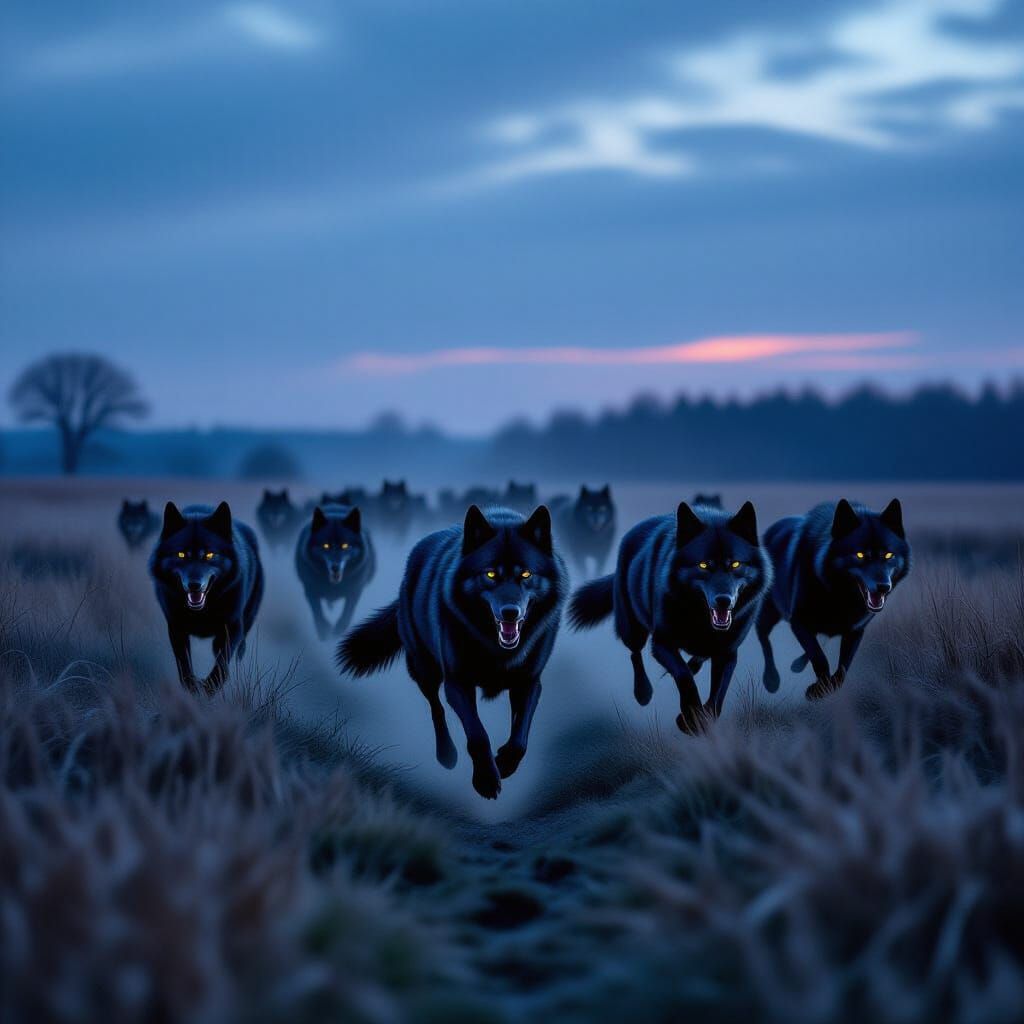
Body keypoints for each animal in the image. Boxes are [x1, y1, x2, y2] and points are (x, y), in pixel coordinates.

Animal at [149, 502, 264, 695]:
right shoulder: (176, 627)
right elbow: (183, 662)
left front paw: (209, 688)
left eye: (209, 555)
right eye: (181, 554)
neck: (203, 612)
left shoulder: (233, 626)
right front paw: (192, 688)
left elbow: (222, 664)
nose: (194, 585)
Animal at [295, 504, 376, 640]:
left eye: (345, 545)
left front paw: (338, 631)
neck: (333, 587)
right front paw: (323, 631)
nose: (335, 567)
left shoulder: (355, 591)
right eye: (326, 546)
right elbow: (317, 612)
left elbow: (347, 612)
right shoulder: (310, 590)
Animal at [337, 505, 567, 799]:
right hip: (425, 669)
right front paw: (485, 780)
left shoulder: (528, 683)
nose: (510, 612)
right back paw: (446, 755)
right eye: (490, 574)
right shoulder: (458, 683)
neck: (495, 649)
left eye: (526, 574)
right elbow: (478, 736)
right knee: (436, 709)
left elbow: (520, 737)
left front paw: (504, 762)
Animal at [569, 501, 771, 732]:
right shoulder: (661, 643)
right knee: (635, 653)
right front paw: (692, 717)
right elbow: (683, 675)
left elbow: (718, 694)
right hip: (632, 629)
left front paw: (702, 719)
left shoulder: (727, 652)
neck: (700, 622)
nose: (724, 600)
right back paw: (643, 693)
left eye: (735, 564)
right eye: (703, 565)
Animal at [756, 499, 910, 700]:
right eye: (860, 555)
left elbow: (843, 666)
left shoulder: (855, 630)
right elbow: (819, 657)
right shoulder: (798, 621)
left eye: (889, 555)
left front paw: (828, 687)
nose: (883, 586)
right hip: (769, 611)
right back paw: (771, 680)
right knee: (763, 636)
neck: (839, 596)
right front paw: (820, 689)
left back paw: (797, 665)